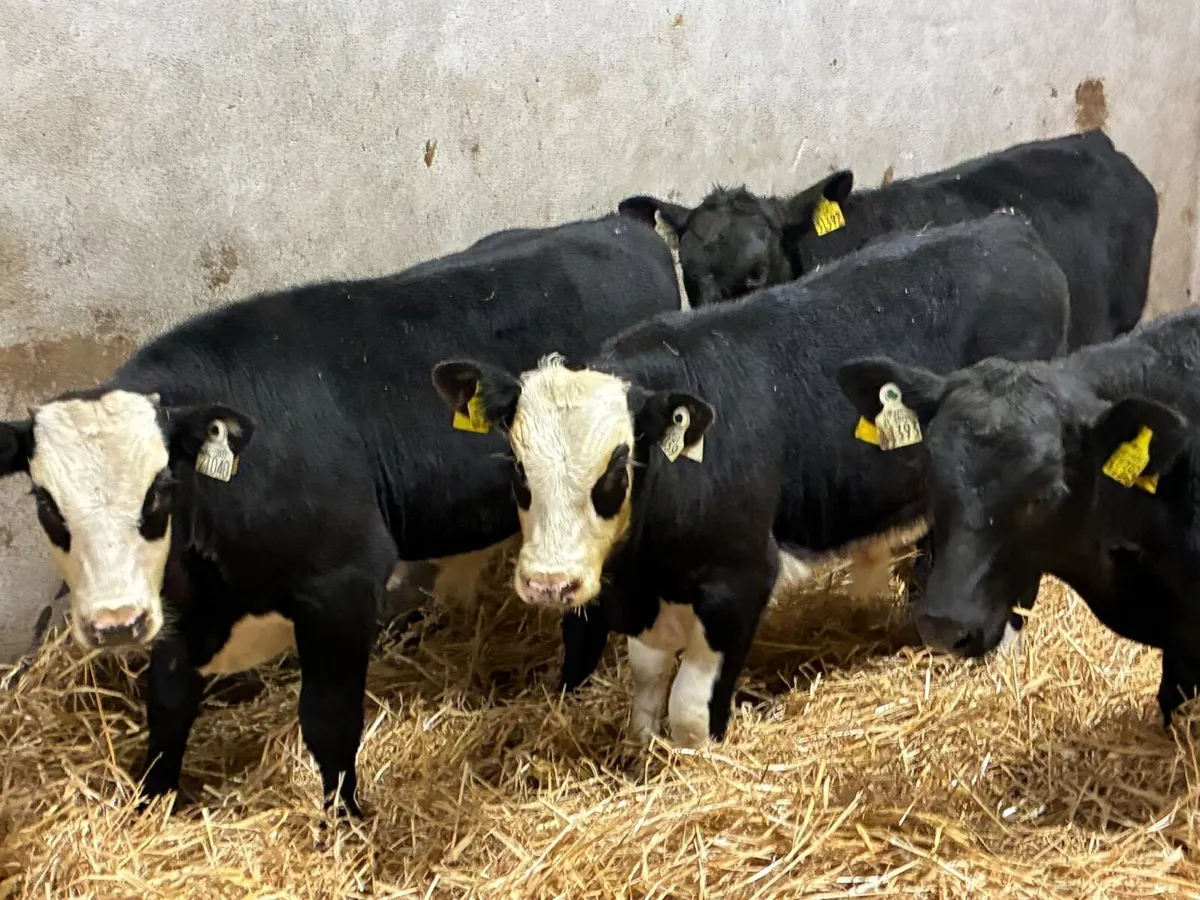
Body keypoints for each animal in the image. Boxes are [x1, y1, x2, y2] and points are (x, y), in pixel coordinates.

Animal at [0, 212, 682, 816]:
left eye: (161, 487)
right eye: (45, 503)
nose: (115, 623)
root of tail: (617, 226)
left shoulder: (344, 580)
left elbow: (328, 721)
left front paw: (346, 820)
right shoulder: (181, 609)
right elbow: (168, 703)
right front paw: (151, 803)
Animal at [431, 210, 1071, 748]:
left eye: (616, 468)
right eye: (519, 467)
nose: (549, 583)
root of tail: (1008, 228)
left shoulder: (739, 582)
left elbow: (690, 708)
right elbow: (647, 677)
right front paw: (642, 748)